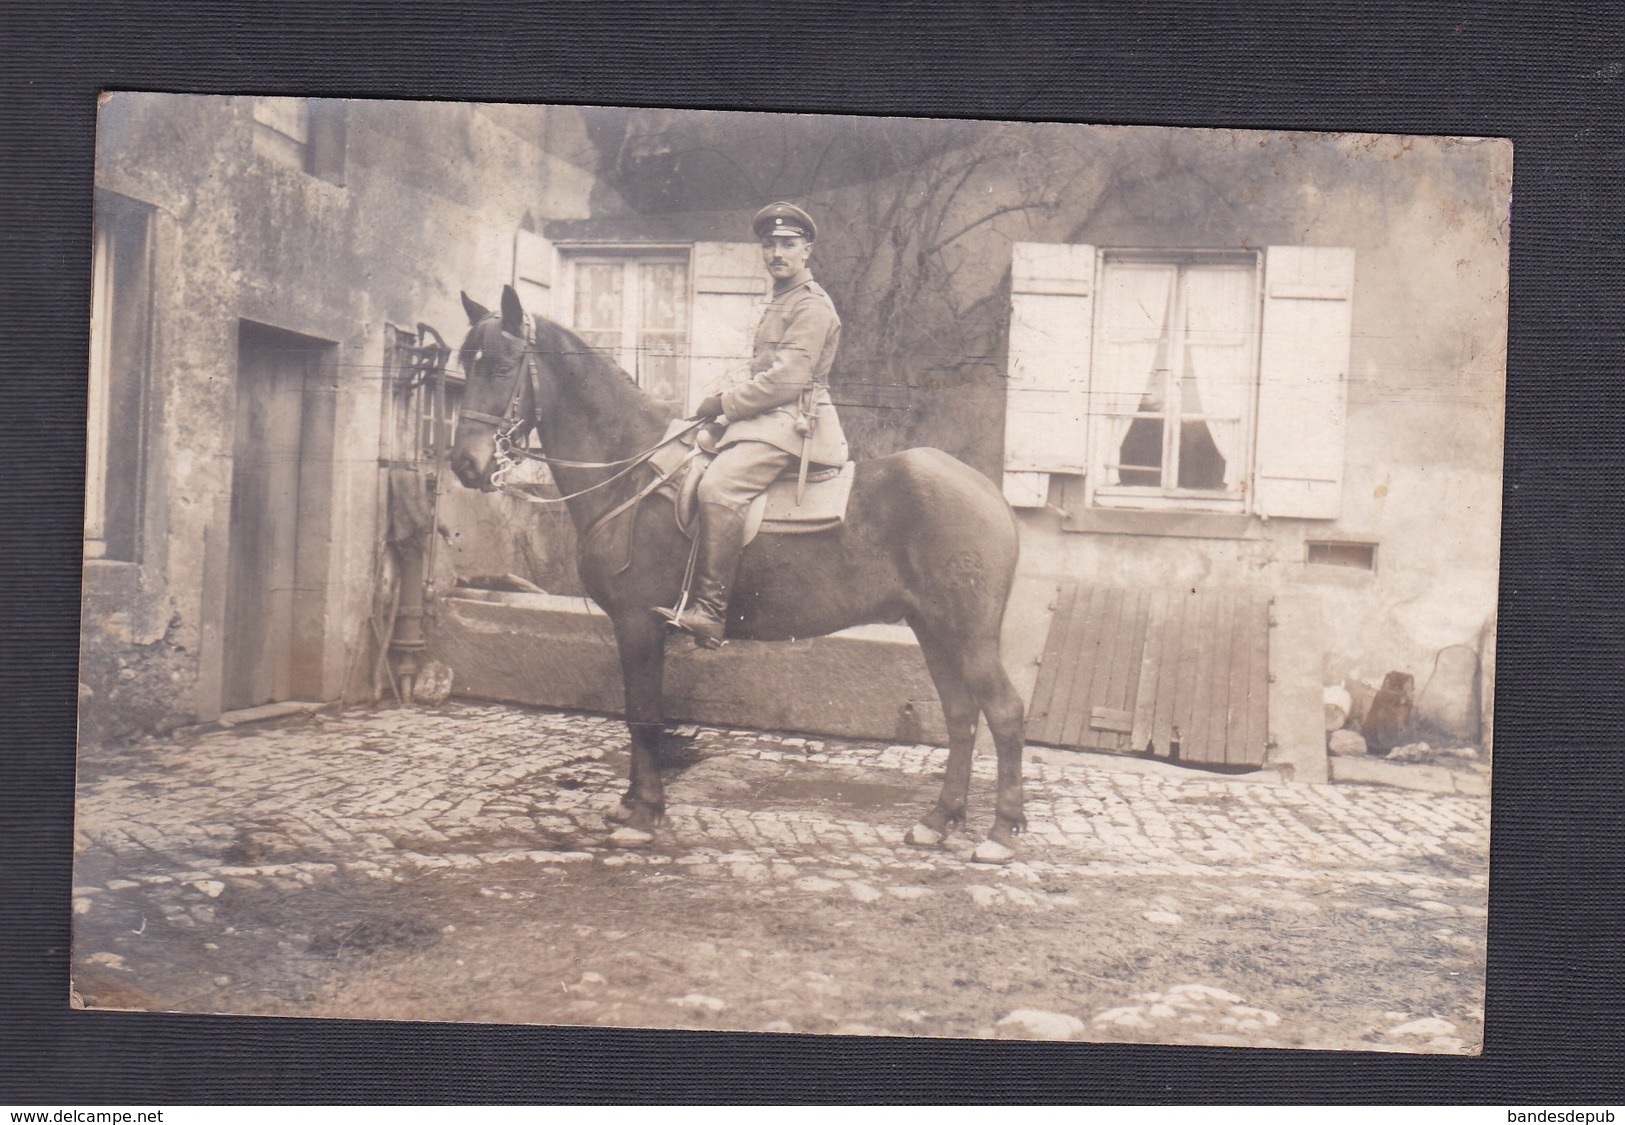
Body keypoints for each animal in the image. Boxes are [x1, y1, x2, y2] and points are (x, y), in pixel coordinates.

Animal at [445, 282, 1027, 858]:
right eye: (465, 364)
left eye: (501, 366)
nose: (465, 464)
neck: (629, 471)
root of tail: (991, 495)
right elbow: (636, 713)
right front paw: (631, 804)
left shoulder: (637, 624)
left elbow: (644, 714)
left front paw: (646, 815)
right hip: (933, 629)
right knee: (959, 715)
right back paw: (939, 820)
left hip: (968, 634)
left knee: (1003, 711)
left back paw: (1001, 832)